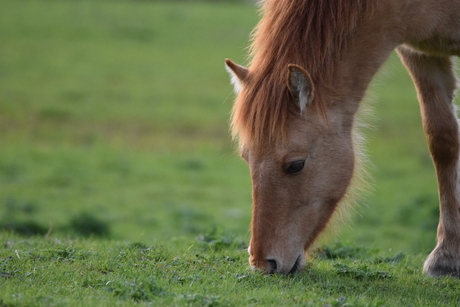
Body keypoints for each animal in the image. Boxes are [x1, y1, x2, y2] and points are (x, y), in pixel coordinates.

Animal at [225, 0, 460, 278]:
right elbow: (442, 140)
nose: (263, 264)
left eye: (296, 165)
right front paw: (447, 256)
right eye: (246, 158)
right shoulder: (421, 55)